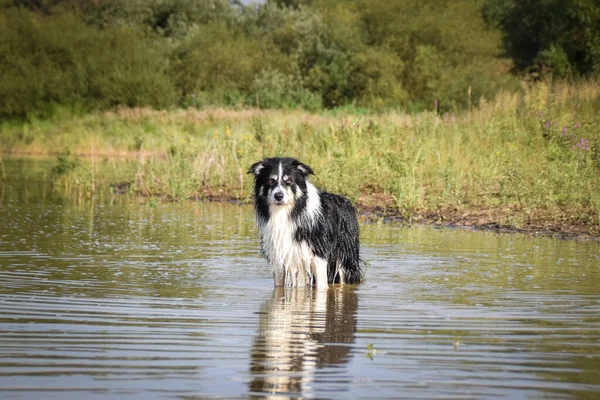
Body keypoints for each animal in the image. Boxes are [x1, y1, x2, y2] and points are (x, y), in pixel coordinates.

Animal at [247, 157, 364, 288]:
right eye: (271, 180)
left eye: (289, 181)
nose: (278, 196)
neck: (286, 212)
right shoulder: (279, 256)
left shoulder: (318, 254)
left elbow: (321, 286)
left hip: (345, 258)